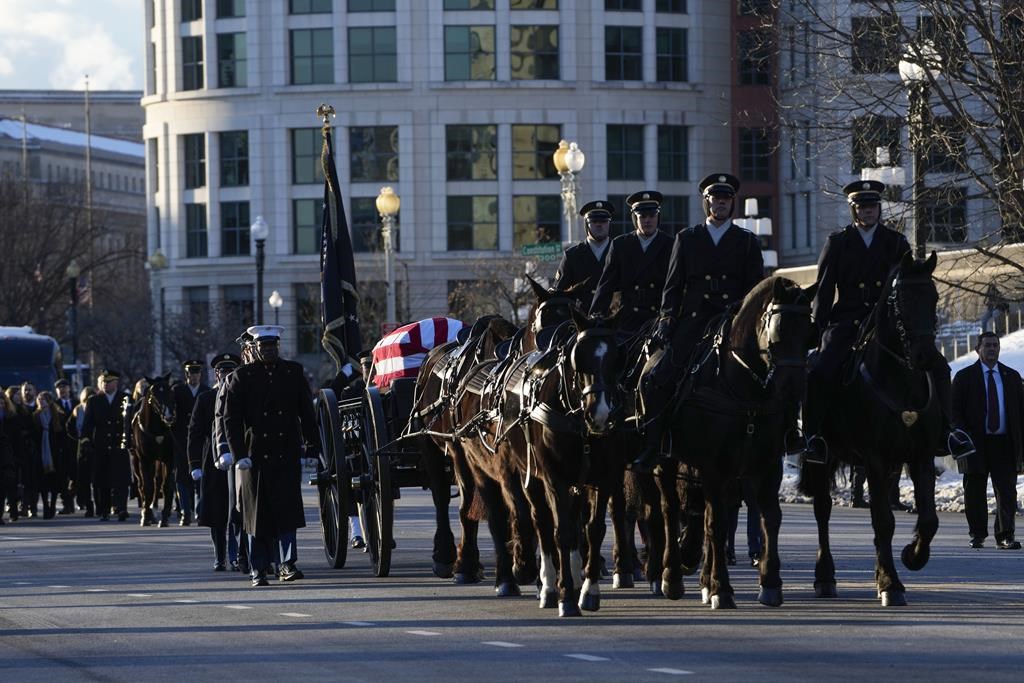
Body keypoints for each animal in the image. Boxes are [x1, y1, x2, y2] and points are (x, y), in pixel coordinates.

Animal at [130, 374, 176, 528]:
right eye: (154, 395)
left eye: (170, 391)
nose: (169, 417)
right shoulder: (145, 459)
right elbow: (147, 486)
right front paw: (146, 516)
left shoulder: (169, 458)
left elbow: (166, 485)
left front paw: (164, 517)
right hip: (136, 460)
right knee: (142, 484)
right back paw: (147, 512)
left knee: (157, 481)